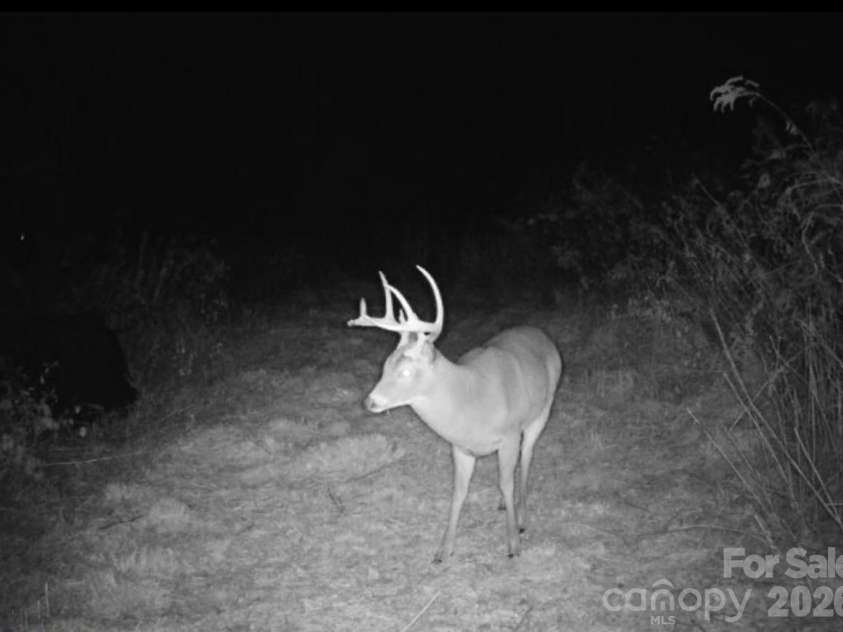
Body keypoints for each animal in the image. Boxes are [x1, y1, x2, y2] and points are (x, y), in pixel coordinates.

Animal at [348, 265, 563, 562]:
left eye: (406, 371)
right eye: (385, 365)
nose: (370, 401)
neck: (471, 400)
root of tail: (541, 334)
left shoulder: (508, 436)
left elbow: (505, 483)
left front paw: (513, 545)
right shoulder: (460, 447)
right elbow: (459, 492)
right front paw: (443, 550)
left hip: (541, 411)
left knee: (527, 457)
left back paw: (521, 518)